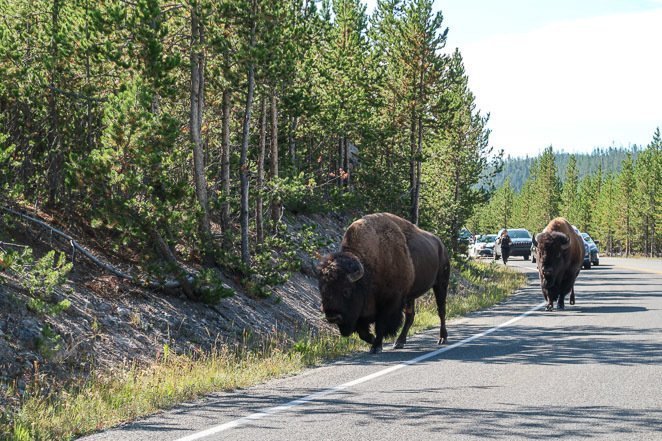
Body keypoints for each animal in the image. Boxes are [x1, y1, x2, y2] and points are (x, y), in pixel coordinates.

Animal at [316, 211, 452, 352]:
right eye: (322, 290)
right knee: (410, 316)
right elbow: (362, 332)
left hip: (441, 284)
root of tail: (441, 246)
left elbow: (381, 325)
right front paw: (373, 340)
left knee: (441, 310)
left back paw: (442, 338)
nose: (332, 316)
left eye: (346, 291)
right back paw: (399, 342)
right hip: (410, 296)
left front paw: (376, 346)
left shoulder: (390, 302)